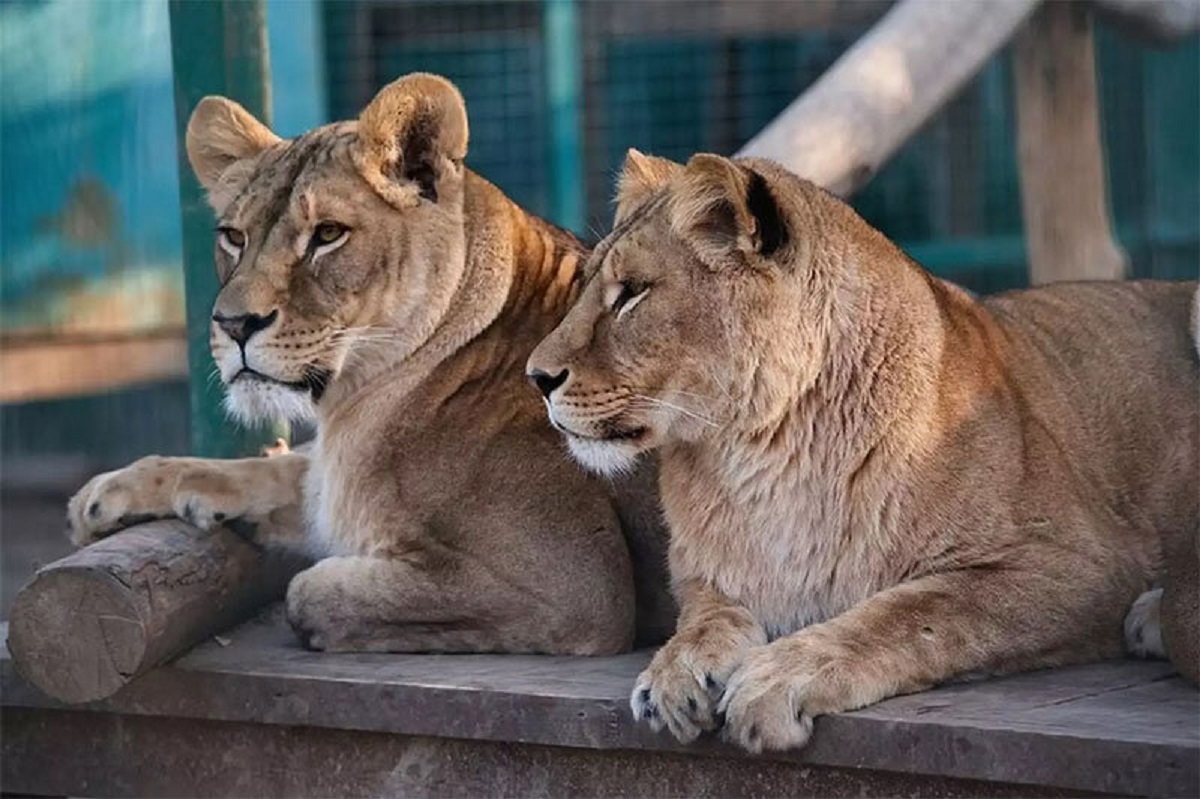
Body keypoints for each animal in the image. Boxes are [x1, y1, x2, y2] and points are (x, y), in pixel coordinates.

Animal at [65, 71, 676, 652]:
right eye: (233, 237)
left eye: (328, 234)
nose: (234, 324)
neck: (355, 400)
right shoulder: (328, 476)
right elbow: (271, 471)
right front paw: (108, 494)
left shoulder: (574, 588)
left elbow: (310, 591)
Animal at [528, 147, 1200, 748]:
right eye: (588, 286)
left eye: (632, 293)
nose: (537, 377)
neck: (760, 454)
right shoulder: (710, 578)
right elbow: (707, 617)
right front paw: (675, 673)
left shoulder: (1074, 563)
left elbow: (909, 615)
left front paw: (776, 681)